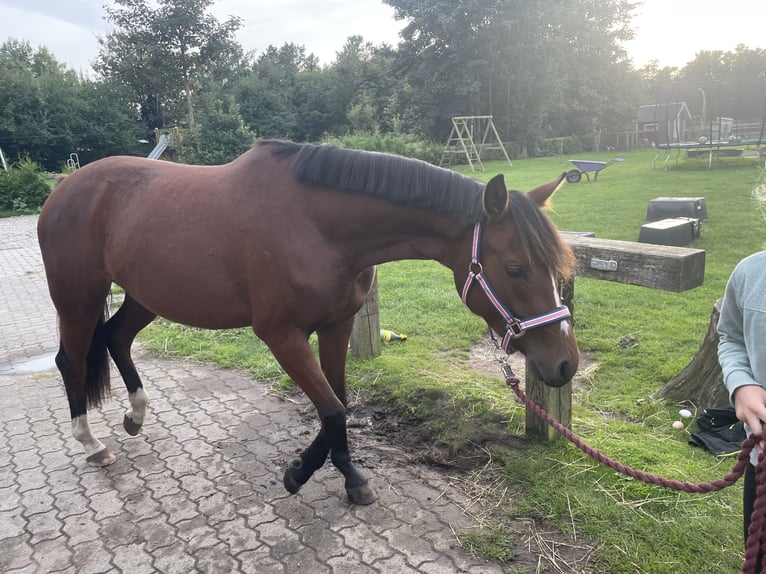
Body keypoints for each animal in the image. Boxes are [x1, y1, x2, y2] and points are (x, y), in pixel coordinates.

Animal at [36, 142, 576, 506]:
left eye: (558, 269)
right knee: (71, 361)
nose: (565, 364)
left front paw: (343, 472)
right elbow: (333, 409)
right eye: (515, 269)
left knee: (116, 338)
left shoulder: (338, 325)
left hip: (147, 295)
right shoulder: (281, 336)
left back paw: (135, 416)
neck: (318, 225)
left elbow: (338, 399)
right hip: (77, 298)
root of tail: (65, 186)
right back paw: (92, 443)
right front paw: (303, 473)